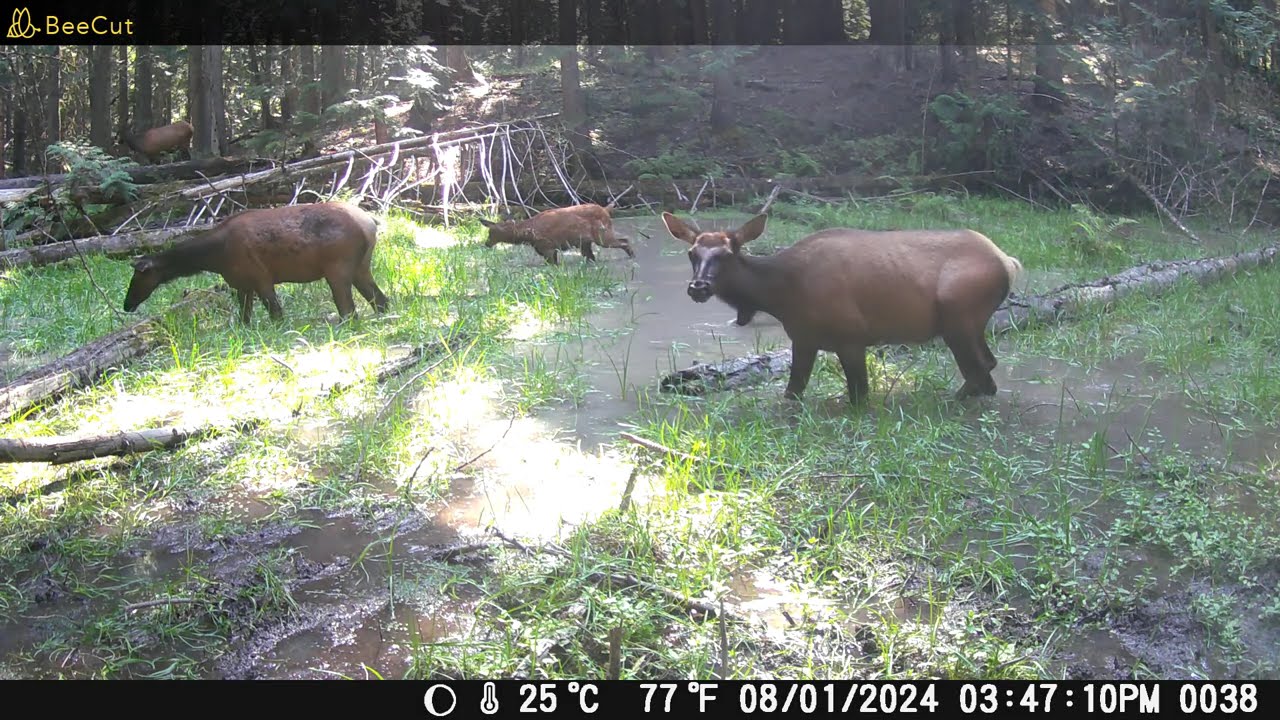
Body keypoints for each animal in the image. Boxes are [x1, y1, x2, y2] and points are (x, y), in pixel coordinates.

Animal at [123, 202, 390, 324]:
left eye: (138, 277)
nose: (127, 305)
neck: (215, 257)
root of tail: (370, 223)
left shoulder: (261, 278)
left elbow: (276, 314)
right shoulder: (242, 284)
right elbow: (245, 318)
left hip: (338, 267)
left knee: (350, 310)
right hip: (361, 267)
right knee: (381, 300)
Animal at [480, 203, 636, 265]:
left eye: (490, 233)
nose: (486, 243)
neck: (528, 235)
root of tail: (606, 209)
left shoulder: (547, 246)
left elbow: (551, 263)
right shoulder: (549, 248)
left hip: (602, 235)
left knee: (624, 240)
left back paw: (632, 255)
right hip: (587, 241)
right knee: (590, 256)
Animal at [660, 211, 1024, 405]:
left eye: (726, 254)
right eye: (692, 253)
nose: (698, 287)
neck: (782, 295)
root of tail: (1008, 262)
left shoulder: (852, 336)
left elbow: (859, 395)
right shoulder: (803, 338)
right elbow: (793, 390)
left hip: (957, 314)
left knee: (979, 368)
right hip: (969, 322)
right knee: (987, 365)